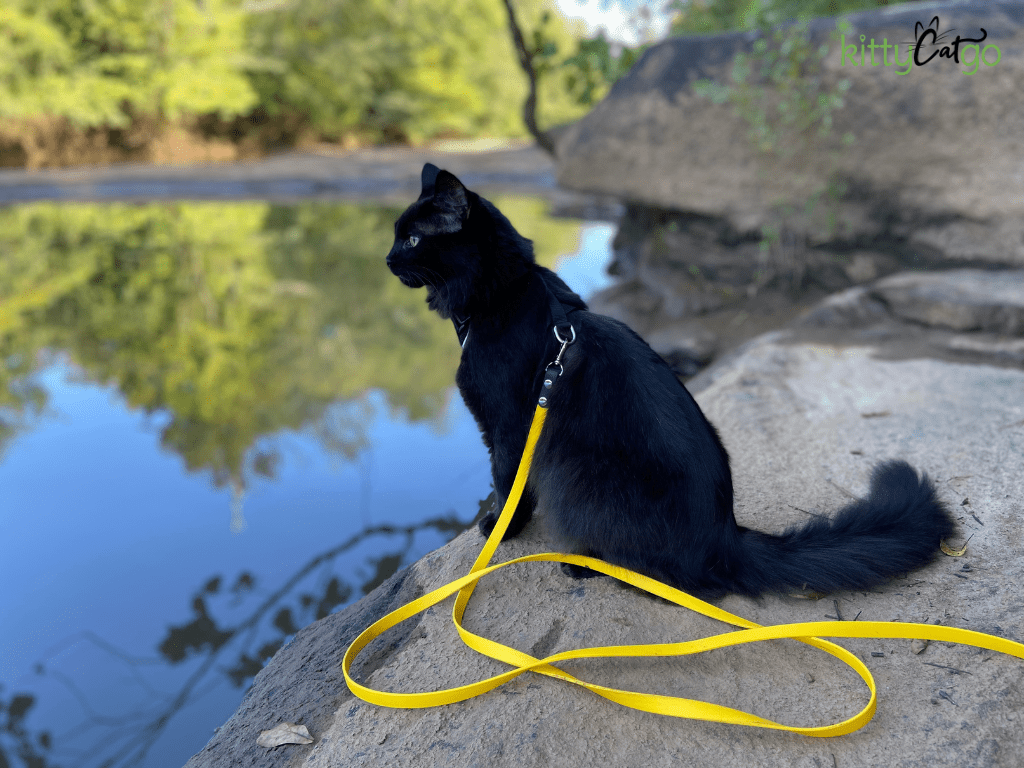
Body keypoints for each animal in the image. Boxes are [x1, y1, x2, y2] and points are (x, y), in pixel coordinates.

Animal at [387, 163, 954, 602]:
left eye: (412, 238)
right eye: (396, 236)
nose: (388, 259)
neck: (500, 294)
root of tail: (726, 538)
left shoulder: (507, 426)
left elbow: (508, 485)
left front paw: (498, 531)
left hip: (578, 475)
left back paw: (583, 564)